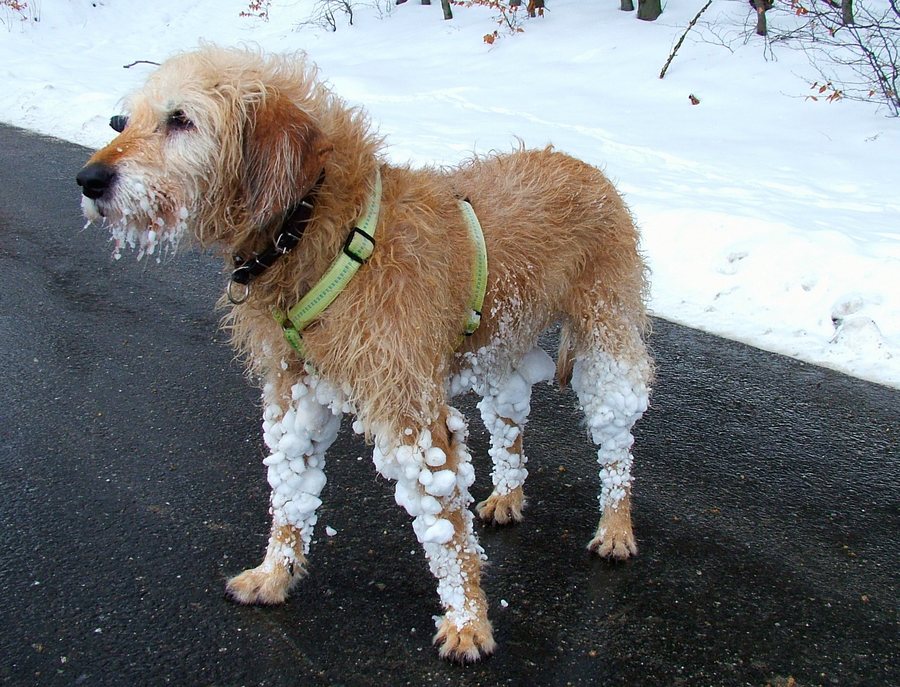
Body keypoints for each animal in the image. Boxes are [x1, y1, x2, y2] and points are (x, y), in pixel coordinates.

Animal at [77, 47, 652, 660]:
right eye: (122, 121)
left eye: (181, 119)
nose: (89, 180)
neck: (314, 225)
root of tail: (589, 168)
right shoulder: (295, 394)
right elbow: (291, 492)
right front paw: (275, 574)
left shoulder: (411, 416)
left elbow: (448, 535)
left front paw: (468, 622)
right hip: (500, 348)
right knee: (510, 425)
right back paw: (507, 493)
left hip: (606, 339)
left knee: (617, 444)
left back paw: (615, 526)